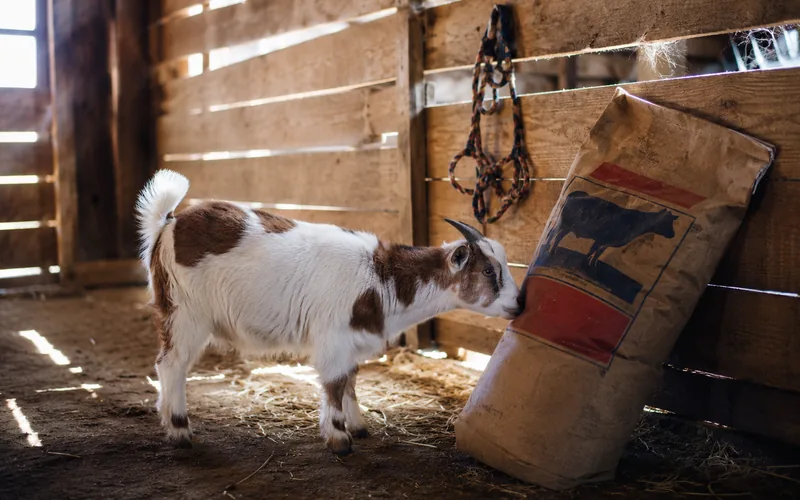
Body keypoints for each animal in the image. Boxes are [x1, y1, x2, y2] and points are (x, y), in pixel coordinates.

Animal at [135, 169, 521, 455]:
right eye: (489, 271)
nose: (519, 303)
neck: (381, 278)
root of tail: (166, 224)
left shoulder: (351, 339)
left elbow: (350, 380)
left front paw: (359, 426)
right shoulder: (334, 338)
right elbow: (335, 383)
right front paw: (339, 440)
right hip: (186, 312)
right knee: (172, 364)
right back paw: (180, 430)